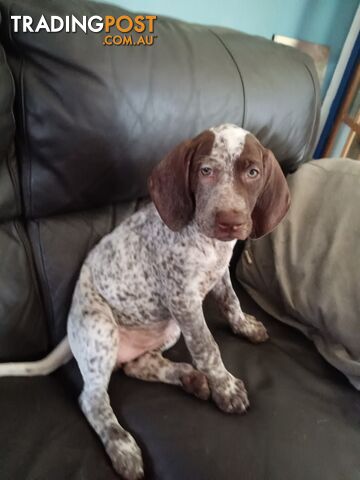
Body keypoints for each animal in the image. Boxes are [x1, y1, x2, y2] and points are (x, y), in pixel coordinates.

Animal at [0, 124, 290, 480]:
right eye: (206, 170)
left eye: (253, 173)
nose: (230, 221)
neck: (209, 245)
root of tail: (70, 334)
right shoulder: (184, 300)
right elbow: (207, 347)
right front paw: (224, 386)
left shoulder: (219, 276)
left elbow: (232, 302)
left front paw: (245, 326)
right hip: (102, 331)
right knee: (92, 399)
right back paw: (122, 445)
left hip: (168, 329)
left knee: (136, 365)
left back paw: (189, 378)